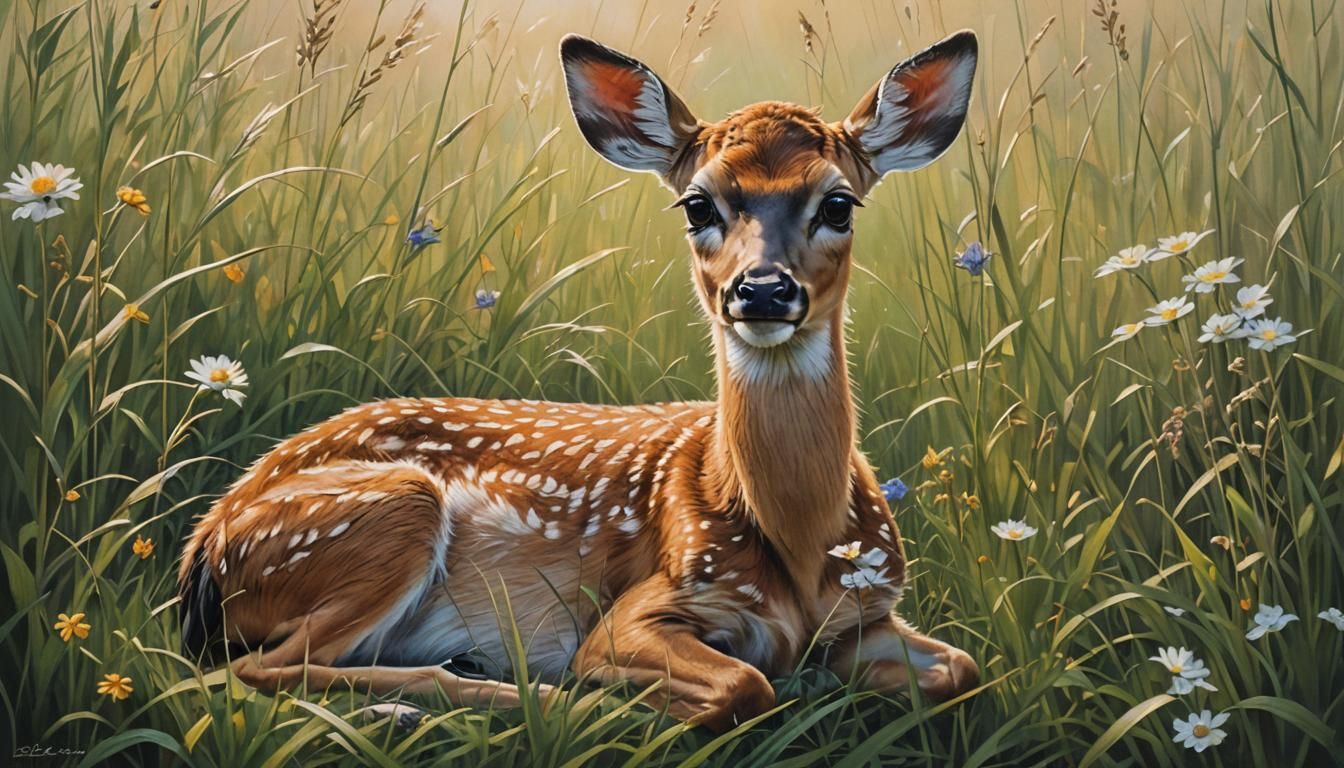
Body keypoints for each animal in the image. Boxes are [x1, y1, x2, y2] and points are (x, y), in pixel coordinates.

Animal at [178, 30, 981, 731]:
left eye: (839, 203)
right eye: (698, 204)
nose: (761, 290)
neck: (800, 546)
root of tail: (204, 545)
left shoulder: (868, 612)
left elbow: (963, 669)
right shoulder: (644, 606)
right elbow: (744, 684)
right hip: (386, 512)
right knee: (251, 668)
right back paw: (513, 697)